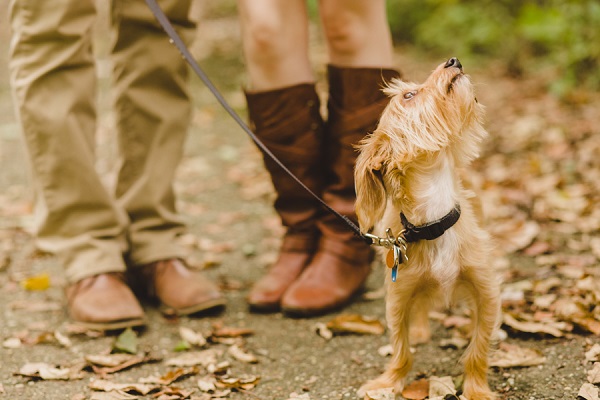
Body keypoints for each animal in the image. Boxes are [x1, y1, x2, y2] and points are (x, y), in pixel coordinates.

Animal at [354, 57, 500, 400]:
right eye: (409, 95)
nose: (453, 60)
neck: (435, 221)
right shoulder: (398, 296)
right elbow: (401, 350)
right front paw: (388, 382)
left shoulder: (486, 290)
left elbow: (478, 349)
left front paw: (477, 390)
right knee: (419, 307)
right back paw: (419, 330)